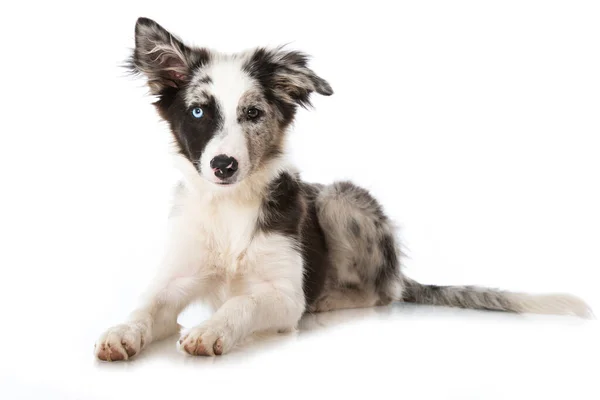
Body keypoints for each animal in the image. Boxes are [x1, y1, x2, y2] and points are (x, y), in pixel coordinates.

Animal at [94, 17, 592, 360]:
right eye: (198, 112)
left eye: (252, 114)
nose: (223, 166)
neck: (229, 206)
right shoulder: (176, 279)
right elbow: (146, 306)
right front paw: (120, 332)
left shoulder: (284, 295)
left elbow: (243, 303)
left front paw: (212, 329)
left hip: (339, 200)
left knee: (380, 292)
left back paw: (334, 298)